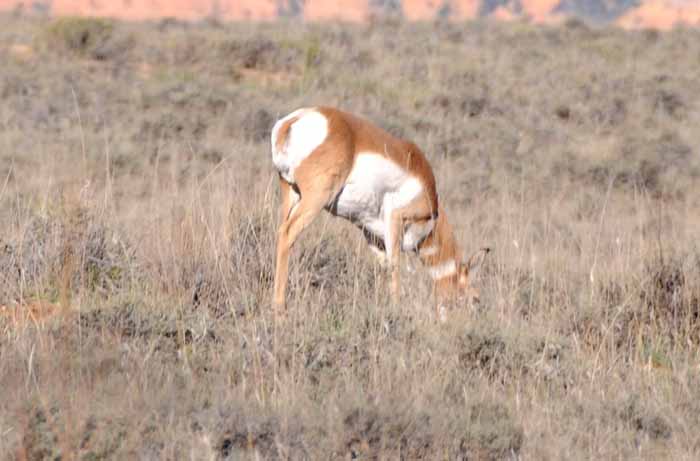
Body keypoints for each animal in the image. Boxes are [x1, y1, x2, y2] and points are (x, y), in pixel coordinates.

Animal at [270, 107, 490, 314]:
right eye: (475, 299)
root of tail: (294, 120)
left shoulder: (370, 234)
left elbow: (384, 267)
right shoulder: (395, 220)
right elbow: (394, 267)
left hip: (290, 192)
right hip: (315, 198)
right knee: (287, 233)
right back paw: (279, 309)